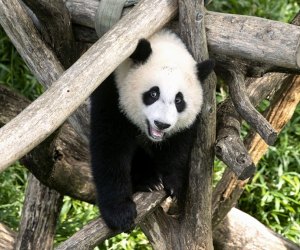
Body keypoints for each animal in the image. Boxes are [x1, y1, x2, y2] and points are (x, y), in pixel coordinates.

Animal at [90, 29, 214, 232]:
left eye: (179, 100)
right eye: (153, 93)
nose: (161, 124)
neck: (160, 39)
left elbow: (179, 145)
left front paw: (174, 183)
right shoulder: (112, 91)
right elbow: (111, 147)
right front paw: (120, 213)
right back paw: (148, 180)